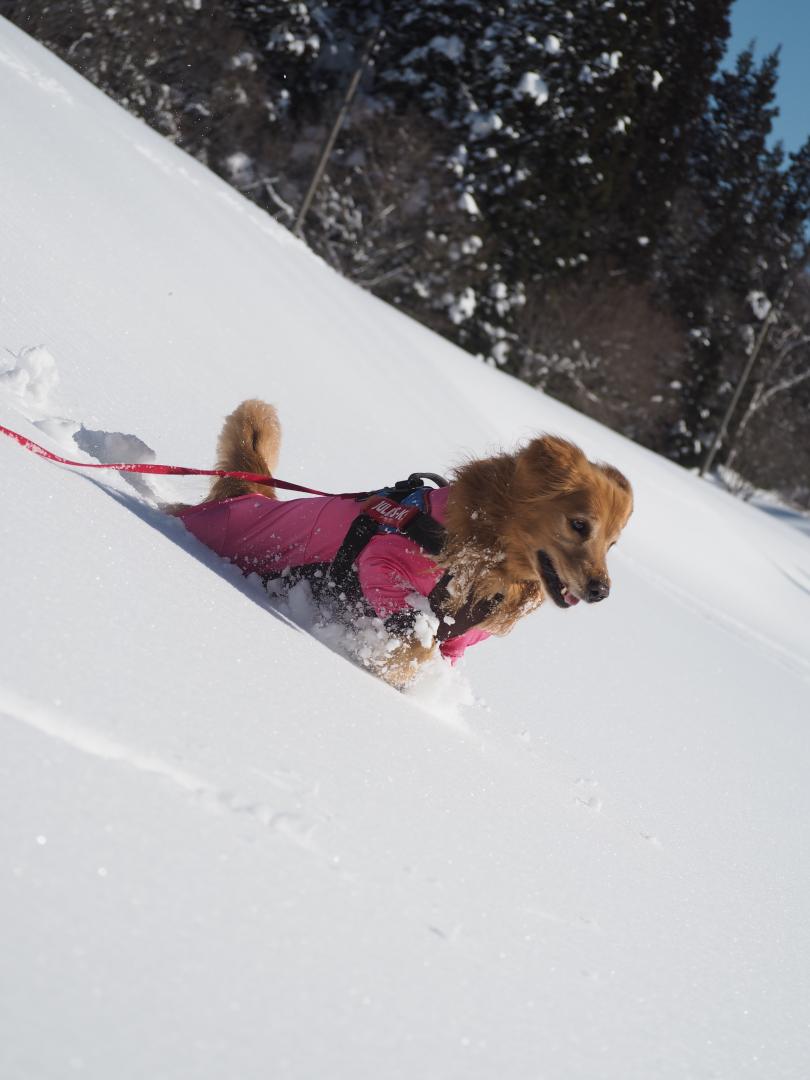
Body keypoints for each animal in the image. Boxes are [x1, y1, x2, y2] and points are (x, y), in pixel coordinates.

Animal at [176, 401, 635, 686]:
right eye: (579, 525)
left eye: (612, 545)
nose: (602, 591)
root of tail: (247, 493)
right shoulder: (382, 563)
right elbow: (414, 640)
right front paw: (389, 663)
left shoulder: (461, 640)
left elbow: (439, 654)